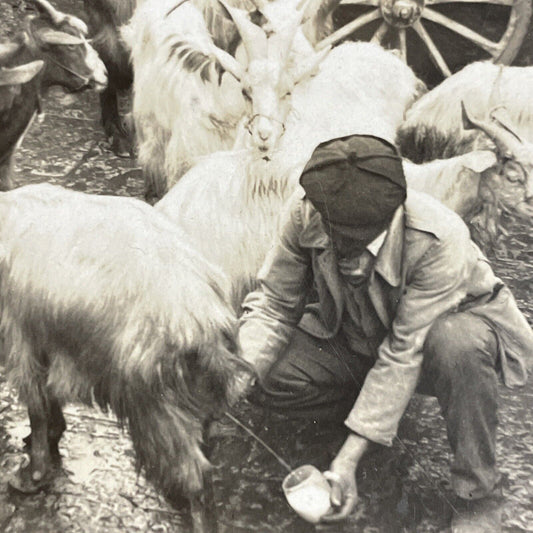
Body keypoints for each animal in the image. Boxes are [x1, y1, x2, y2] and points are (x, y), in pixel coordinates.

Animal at [1, 185, 242, 528]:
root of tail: (202, 311)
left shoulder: (21, 338)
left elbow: (36, 407)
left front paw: (33, 475)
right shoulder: (47, 339)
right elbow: (48, 401)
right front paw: (52, 435)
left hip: (150, 396)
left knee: (194, 473)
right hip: (194, 389)